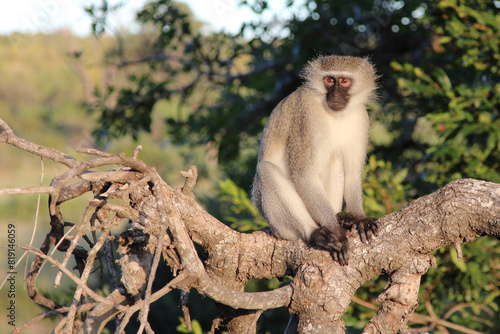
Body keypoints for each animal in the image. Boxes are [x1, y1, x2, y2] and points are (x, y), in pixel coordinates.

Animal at [252, 54, 376, 264]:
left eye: (344, 81)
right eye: (329, 80)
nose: (335, 95)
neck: (337, 115)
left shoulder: (361, 117)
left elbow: (352, 174)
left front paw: (359, 218)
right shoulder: (306, 113)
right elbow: (303, 176)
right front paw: (336, 232)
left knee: (336, 159)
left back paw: (340, 216)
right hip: (278, 225)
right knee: (266, 171)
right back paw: (316, 232)